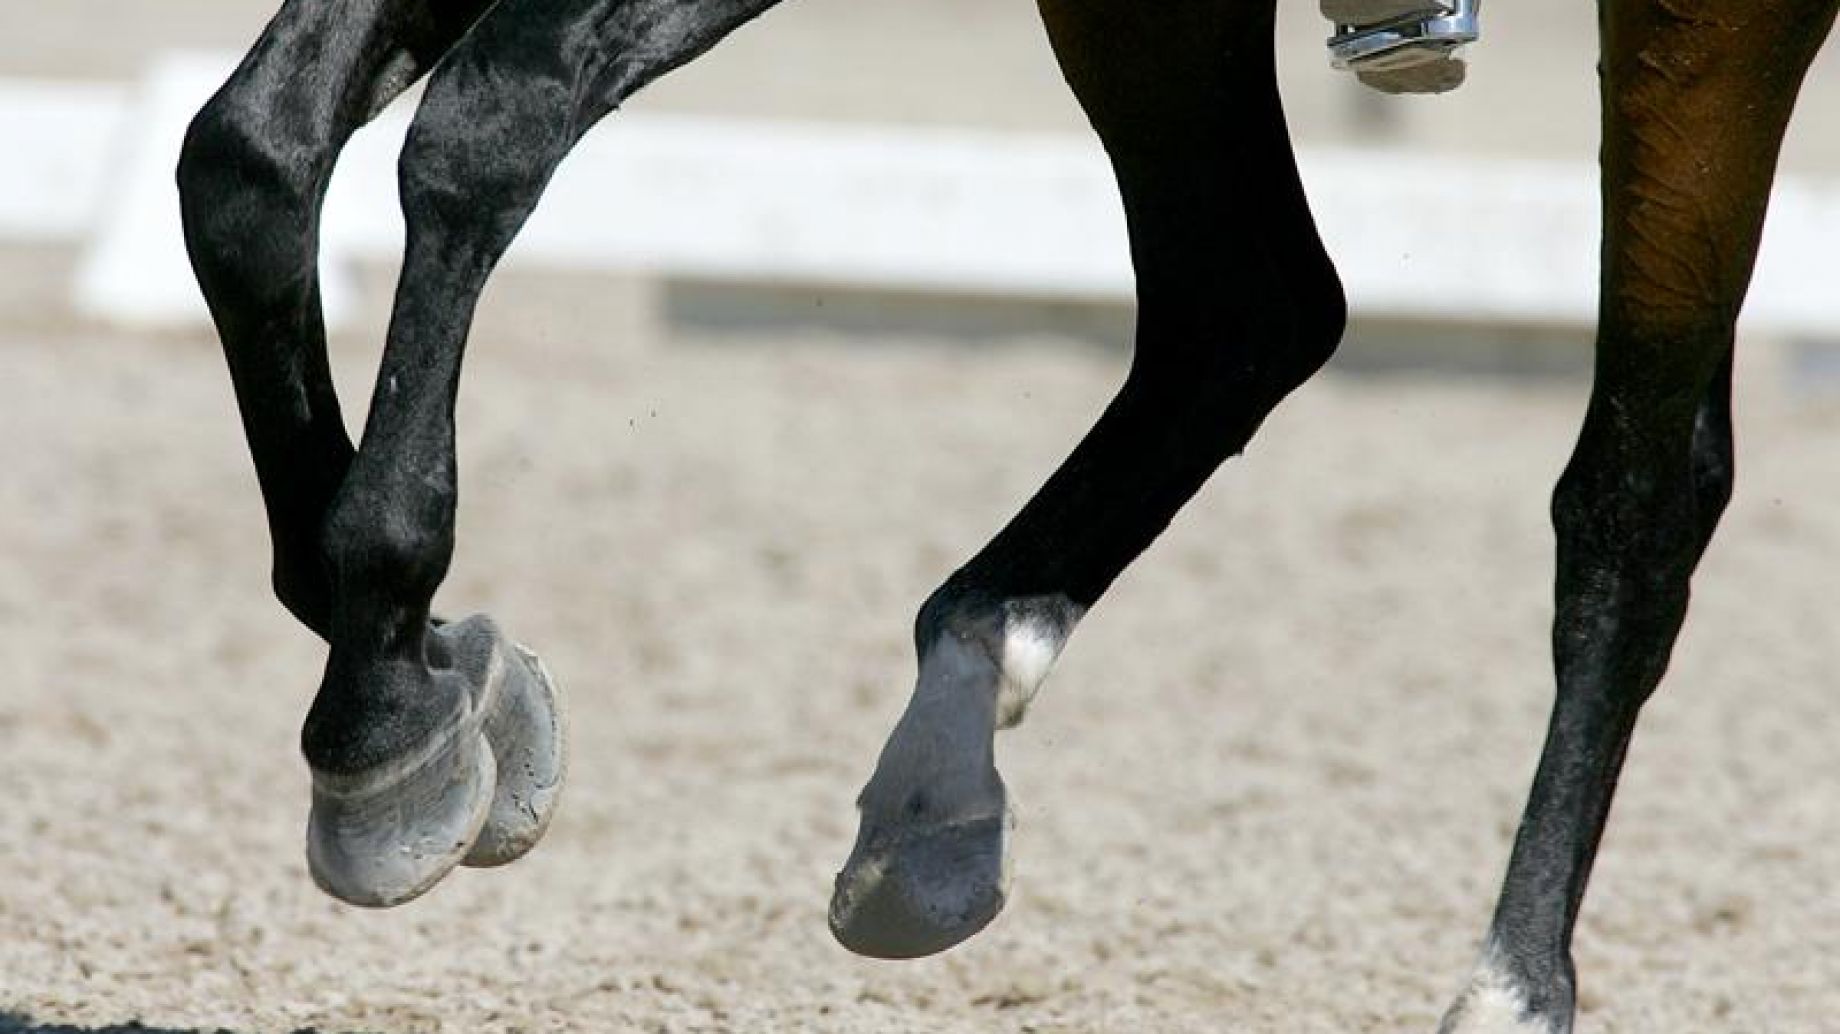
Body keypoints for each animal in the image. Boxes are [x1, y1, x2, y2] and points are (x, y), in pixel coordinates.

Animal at [174, 1, 1836, 1030]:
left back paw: (1510, 981)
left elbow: (481, 127)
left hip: (1705, 33)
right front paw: (412, 682)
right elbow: (247, 155)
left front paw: (392, 707)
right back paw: (945, 758)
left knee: (1639, 482)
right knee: (1248, 305)